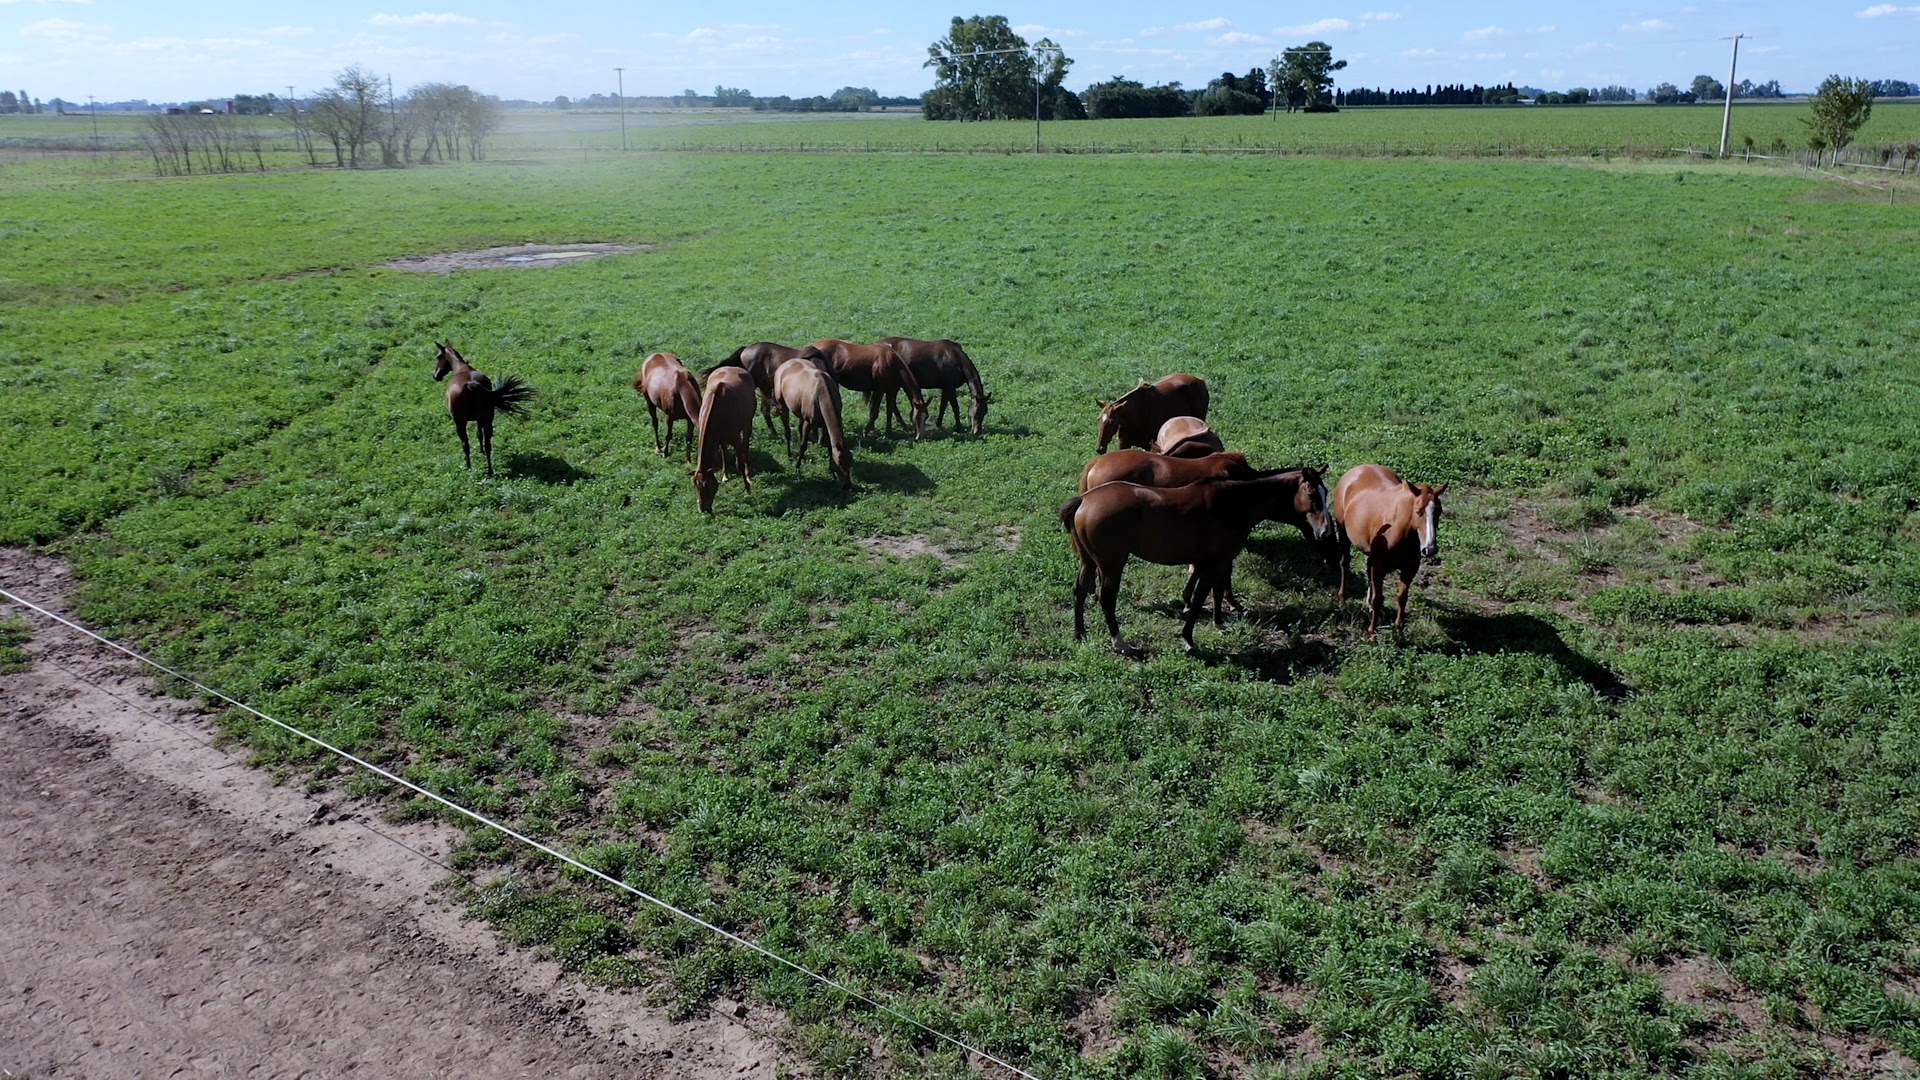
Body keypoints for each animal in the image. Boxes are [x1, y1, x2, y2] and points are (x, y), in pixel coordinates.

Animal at [431, 342, 535, 477]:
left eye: (438, 356)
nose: (436, 375)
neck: (463, 369)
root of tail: (469, 384)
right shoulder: (480, 420)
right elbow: (479, 435)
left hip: (460, 423)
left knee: (466, 444)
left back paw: (469, 467)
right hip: (487, 420)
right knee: (488, 445)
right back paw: (490, 470)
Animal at [691, 366, 756, 514]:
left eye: (707, 485)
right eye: (695, 486)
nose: (703, 509)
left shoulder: (735, 438)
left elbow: (739, 462)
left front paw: (747, 489)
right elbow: (723, 452)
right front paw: (725, 474)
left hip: (748, 423)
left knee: (745, 445)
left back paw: (748, 474)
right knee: (724, 450)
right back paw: (725, 474)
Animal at [773, 358, 853, 487]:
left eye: (851, 463)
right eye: (840, 463)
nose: (847, 485)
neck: (823, 393)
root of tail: (784, 364)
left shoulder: (824, 425)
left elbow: (829, 447)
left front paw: (831, 472)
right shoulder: (808, 421)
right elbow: (803, 445)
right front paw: (797, 467)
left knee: (799, 429)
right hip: (782, 405)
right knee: (787, 431)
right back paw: (790, 455)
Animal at [1060, 471, 1332, 657]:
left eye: (1326, 493)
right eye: (1311, 495)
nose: (1325, 532)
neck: (1234, 504)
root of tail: (1084, 500)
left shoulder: (1217, 560)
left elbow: (1215, 591)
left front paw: (1218, 622)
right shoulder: (1214, 561)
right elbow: (1202, 595)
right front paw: (1189, 639)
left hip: (1089, 562)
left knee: (1079, 591)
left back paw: (1079, 634)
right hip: (1111, 565)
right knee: (1106, 599)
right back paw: (1121, 642)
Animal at [1332, 464, 1448, 633]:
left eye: (1439, 511)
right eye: (1418, 511)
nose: (1430, 548)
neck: (1400, 529)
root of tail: (1357, 469)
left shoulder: (1410, 568)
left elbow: (1402, 597)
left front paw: (1398, 628)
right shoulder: (1380, 566)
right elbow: (1378, 599)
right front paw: (1372, 631)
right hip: (1343, 533)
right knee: (1344, 563)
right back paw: (1342, 600)